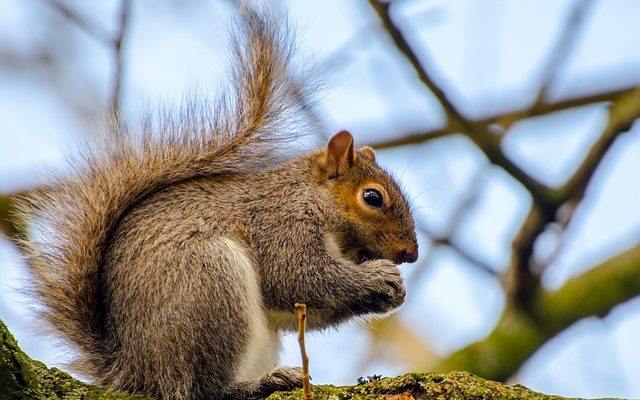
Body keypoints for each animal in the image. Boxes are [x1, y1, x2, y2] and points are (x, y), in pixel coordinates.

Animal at [16, 3, 420, 400]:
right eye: (372, 197)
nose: (410, 254)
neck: (312, 199)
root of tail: (134, 371)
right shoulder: (280, 224)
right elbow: (298, 277)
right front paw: (378, 277)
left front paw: (391, 292)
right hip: (209, 285)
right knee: (203, 387)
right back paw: (257, 383)